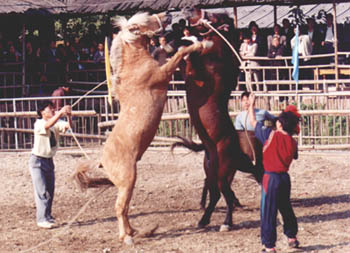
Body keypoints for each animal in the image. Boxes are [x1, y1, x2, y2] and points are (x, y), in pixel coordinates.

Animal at [74, 11, 211, 245]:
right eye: (147, 21)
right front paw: (201, 44)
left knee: (126, 208)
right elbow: (179, 54)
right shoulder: (163, 74)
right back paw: (127, 237)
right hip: (128, 179)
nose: (168, 15)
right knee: (120, 207)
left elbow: (168, 53)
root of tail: (102, 161)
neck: (135, 66)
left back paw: (134, 231)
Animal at [175, 7, 262, 231]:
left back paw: (226, 223)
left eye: (213, 16)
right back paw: (203, 220)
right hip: (211, 170)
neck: (219, 56)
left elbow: (191, 57)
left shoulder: (198, 74)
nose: (187, 11)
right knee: (215, 195)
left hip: (223, 172)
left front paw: (188, 41)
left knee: (227, 196)